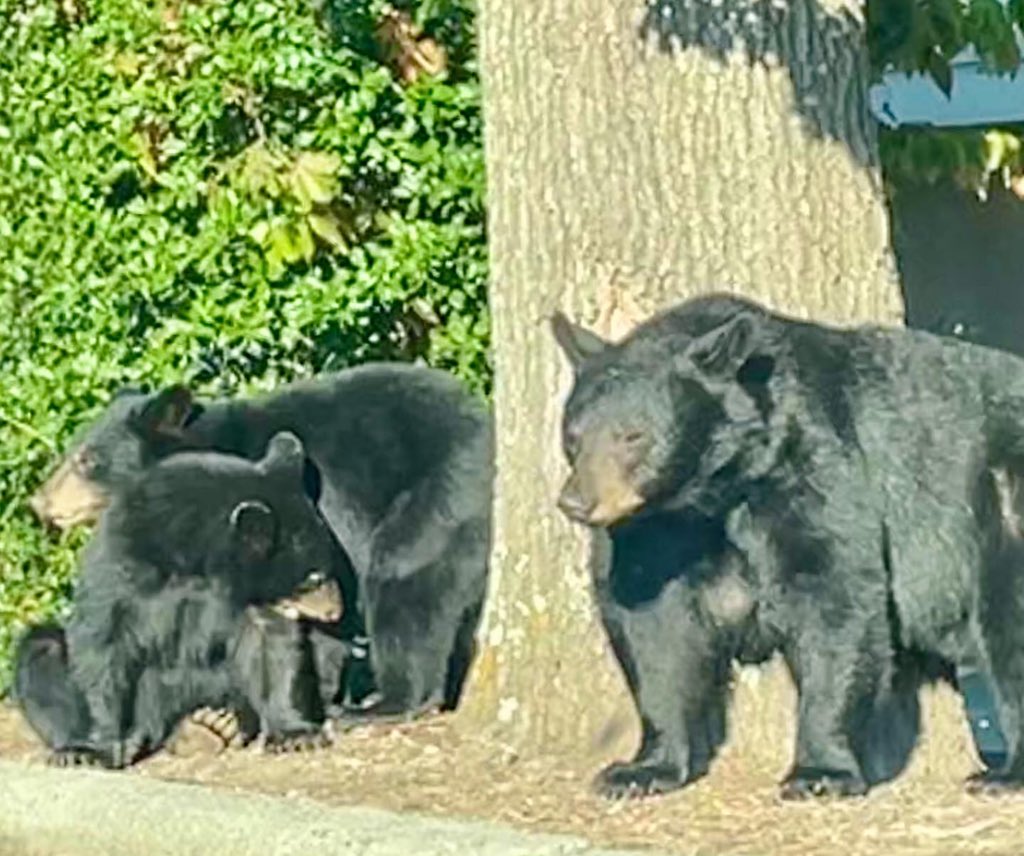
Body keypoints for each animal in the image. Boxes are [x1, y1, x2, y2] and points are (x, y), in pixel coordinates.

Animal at [15, 431, 346, 768]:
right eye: (314, 578)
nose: (335, 611)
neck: (196, 562)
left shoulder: (251, 599)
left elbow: (272, 645)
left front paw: (296, 735)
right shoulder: (120, 560)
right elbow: (101, 641)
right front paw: (92, 749)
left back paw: (215, 723)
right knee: (41, 652)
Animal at [29, 363, 493, 727]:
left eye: (86, 459)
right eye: (75, 451)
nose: (40, 502)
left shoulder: (315, 513)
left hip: (440, 499)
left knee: (405, 581)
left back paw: (387, 703)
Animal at [551, 292, 1024, 799]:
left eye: (632, 435)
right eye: (573, 434)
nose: (576, 501)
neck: (715, 488)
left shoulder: (813, 468)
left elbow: (832, 595)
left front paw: (819, 772)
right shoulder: (655, 531)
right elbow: (650, 624)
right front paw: (641, 768)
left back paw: (1003, 774)